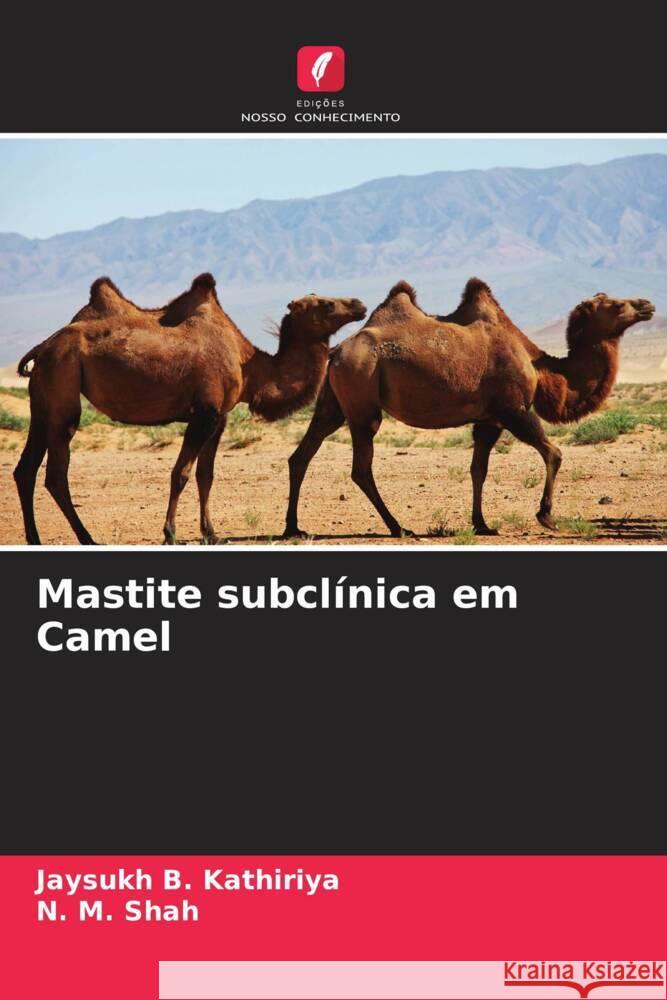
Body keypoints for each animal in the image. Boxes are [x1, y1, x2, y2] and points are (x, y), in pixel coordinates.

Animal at [14, 273, 366, 544]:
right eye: (326, 304)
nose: (360, 304)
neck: (248, 365)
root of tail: (43, 347)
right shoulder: (204, 414)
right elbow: (180, 473)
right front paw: (170, 533)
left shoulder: (220, 417)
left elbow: (205, 475)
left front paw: (211, 533)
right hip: (63, 392)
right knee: (55, 474)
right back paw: (87, 538)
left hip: (43, 402)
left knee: (25, 469)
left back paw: (35, 539)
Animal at [283, 279, 655, 538]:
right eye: (615, 305)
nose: (647, 304)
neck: (539, 366)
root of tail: (336, 352)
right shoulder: (513, 410)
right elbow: (554, 452)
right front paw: (547, 517)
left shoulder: (489, 420)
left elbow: (479, 469)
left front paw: (482, 523)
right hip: (362, 403)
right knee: (361, 468)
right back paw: (399, 527)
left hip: (333, 404)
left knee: (302, 454)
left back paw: (293, 528)